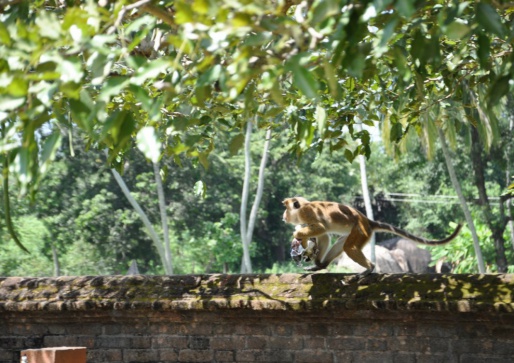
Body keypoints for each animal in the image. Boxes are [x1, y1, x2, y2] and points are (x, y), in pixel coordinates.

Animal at [282, 198, 462, 274]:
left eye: (286, 208)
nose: (283, 215)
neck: (302, 207)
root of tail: (366, 220)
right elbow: (324, 235)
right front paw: (310, 250)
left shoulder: (307, 213)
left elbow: (321, 227)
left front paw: (298, 235)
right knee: (343, 242)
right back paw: (322, 265)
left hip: (361, 230)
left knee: (349, 246)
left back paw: (370, 268)